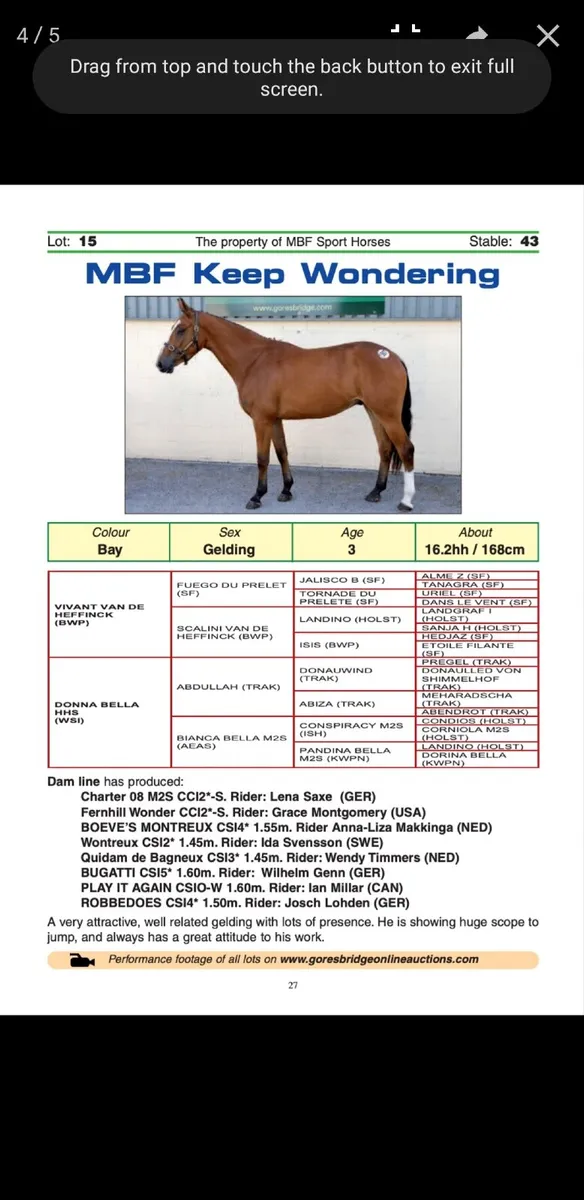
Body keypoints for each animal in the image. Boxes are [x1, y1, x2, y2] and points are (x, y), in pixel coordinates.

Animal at [156, 299, 415, 512]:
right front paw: (286, 490)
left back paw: (406, 501)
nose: (161, 363)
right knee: (384, 448)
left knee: (406, 449)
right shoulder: (275, 419)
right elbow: (282, 452)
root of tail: (391, 356)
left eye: (180, 329)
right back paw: (375, 492)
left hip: (388, 415)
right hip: (374, 412)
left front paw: (257, 496)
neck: (254, 361)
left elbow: (262, 457)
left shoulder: (261, 419)